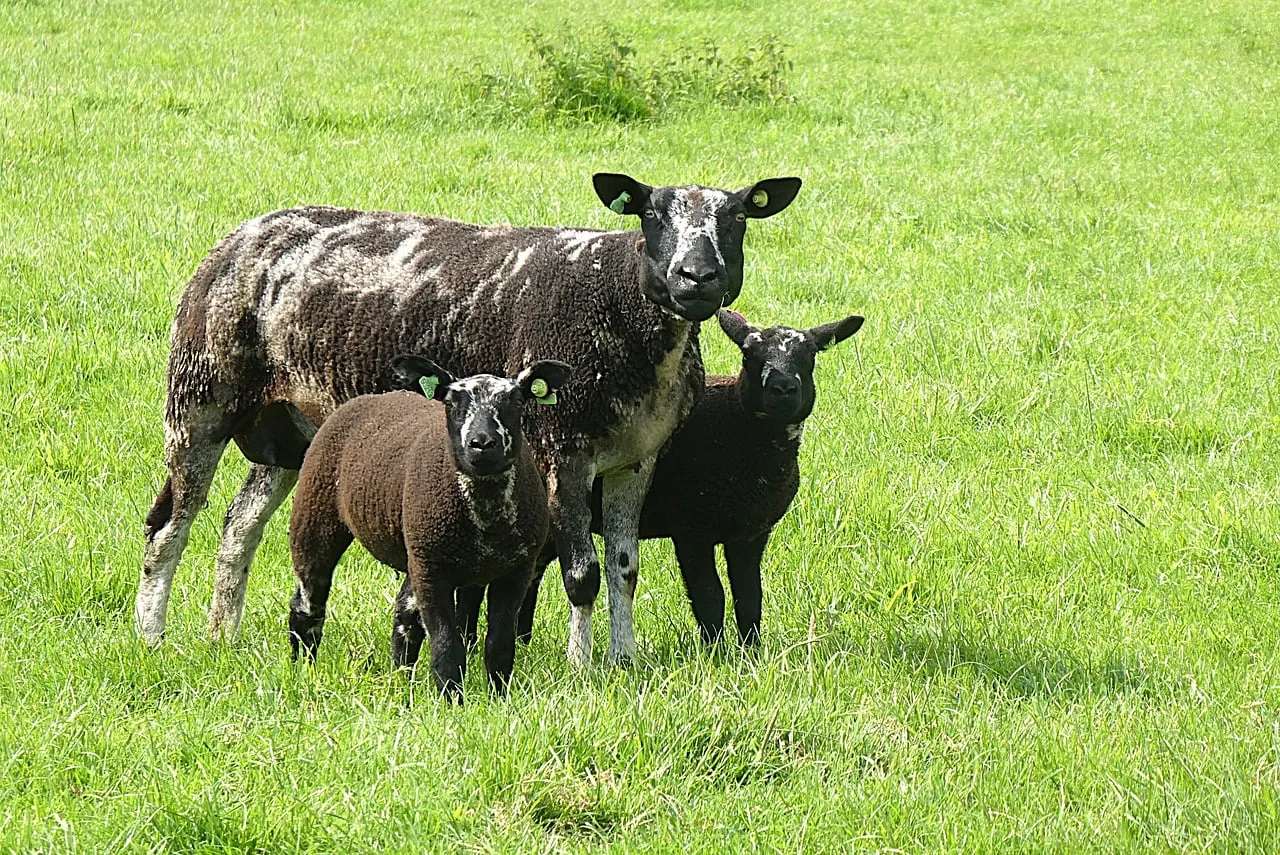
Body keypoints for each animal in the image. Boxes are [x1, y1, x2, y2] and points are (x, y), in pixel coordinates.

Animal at [288, 355, 571, 700]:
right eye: (451, 402)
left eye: (516, 401)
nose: (482, 444)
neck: (486, 517)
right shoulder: (433, 571)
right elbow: (447, 646)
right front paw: (451, 700)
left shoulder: (517, 570)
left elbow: (499, 644)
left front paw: (498, 696)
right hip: (316, 513)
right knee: (308, 601)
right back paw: (303, 668)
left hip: (414, 547)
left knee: (404, 615)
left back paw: (401, 680)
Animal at [456, 308, 863, 648]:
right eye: (750, 357)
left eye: (810, 358)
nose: (782, 389)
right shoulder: (692, 530)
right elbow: (709, 594)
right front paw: (716, 654)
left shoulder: (751, 535)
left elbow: (750, 598)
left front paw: (751, 653)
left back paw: (520, 643)